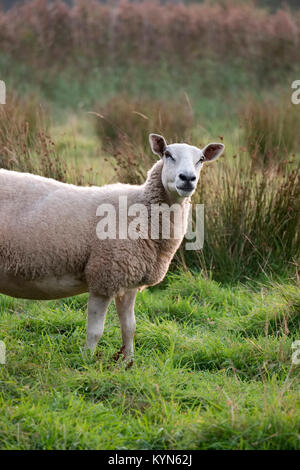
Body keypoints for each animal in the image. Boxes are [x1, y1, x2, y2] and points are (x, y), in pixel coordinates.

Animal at [0, 134, 225, 362]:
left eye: (201, 159)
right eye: (168, 154)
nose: (187, 178)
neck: (141, 211)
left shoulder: (130, 280)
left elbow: (130, 327)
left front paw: (128, 361)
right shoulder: (104, 277)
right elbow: (95, 331)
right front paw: (87, 362)